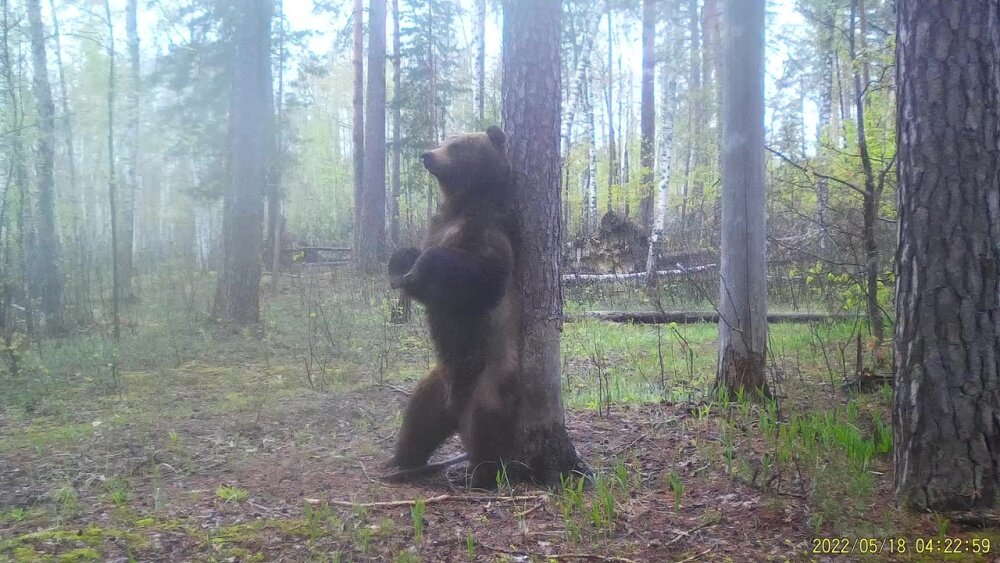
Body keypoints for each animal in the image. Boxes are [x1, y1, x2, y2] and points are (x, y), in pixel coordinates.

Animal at [384, 125, 520, 486]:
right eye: (445, 140)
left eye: (457, 145)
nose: (427, 155)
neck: (462, 206)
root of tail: (454, 407)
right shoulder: (438, 227)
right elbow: (419, 276)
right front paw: (400, 263)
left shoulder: (488, 236)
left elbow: (480, 277)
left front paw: (420, 265)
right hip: (435, 383)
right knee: (417, 419)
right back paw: (398, 461)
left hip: (486, 385)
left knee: (484, 430)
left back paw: (476, 473)